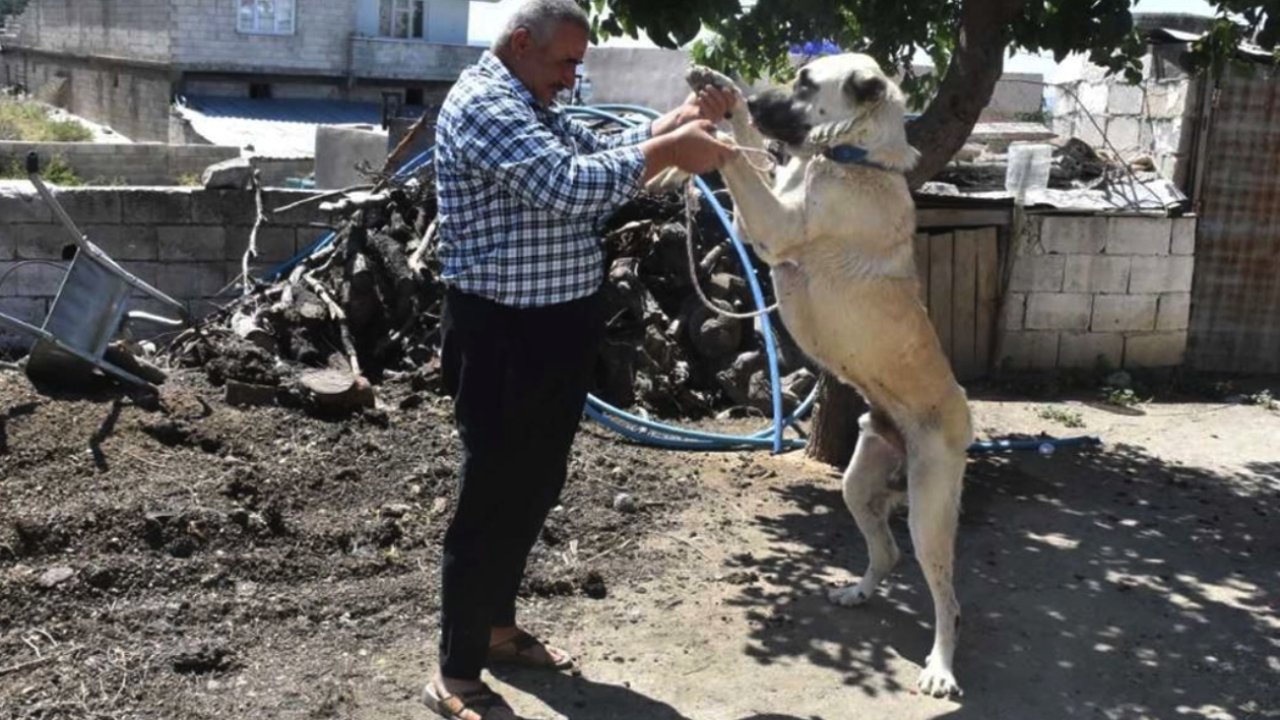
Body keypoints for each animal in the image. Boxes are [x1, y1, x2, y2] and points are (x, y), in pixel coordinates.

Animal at [691, 56, 967, 696]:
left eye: (806, 84)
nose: (753, 95)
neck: (850, 158)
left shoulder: (773, 227)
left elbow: (737, 159)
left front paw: (716, 128)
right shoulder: (760, 221)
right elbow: (751, 152)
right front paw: (722, 96)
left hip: (930, 511)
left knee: (947, 598)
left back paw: (940, 668)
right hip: (859, 483)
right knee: (886, 553)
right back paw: (859, 591)